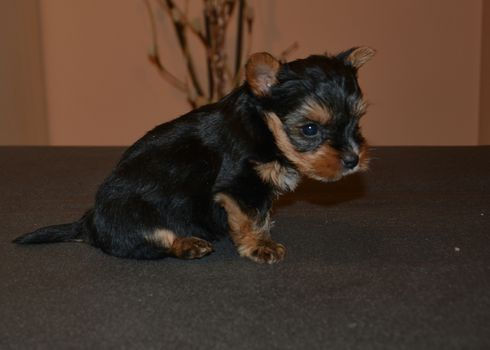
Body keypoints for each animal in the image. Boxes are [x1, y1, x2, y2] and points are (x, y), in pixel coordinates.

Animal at [14, 47, 376, 264]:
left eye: (357, 121)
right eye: (310, 129)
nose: (353, 159)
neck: (263, 128)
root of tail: (89, 222)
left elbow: (260, 212)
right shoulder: (238, 186)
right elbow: (251, 216)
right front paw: (260, 244)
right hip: (135, 215)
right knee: (150, 241)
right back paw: (189, 243)